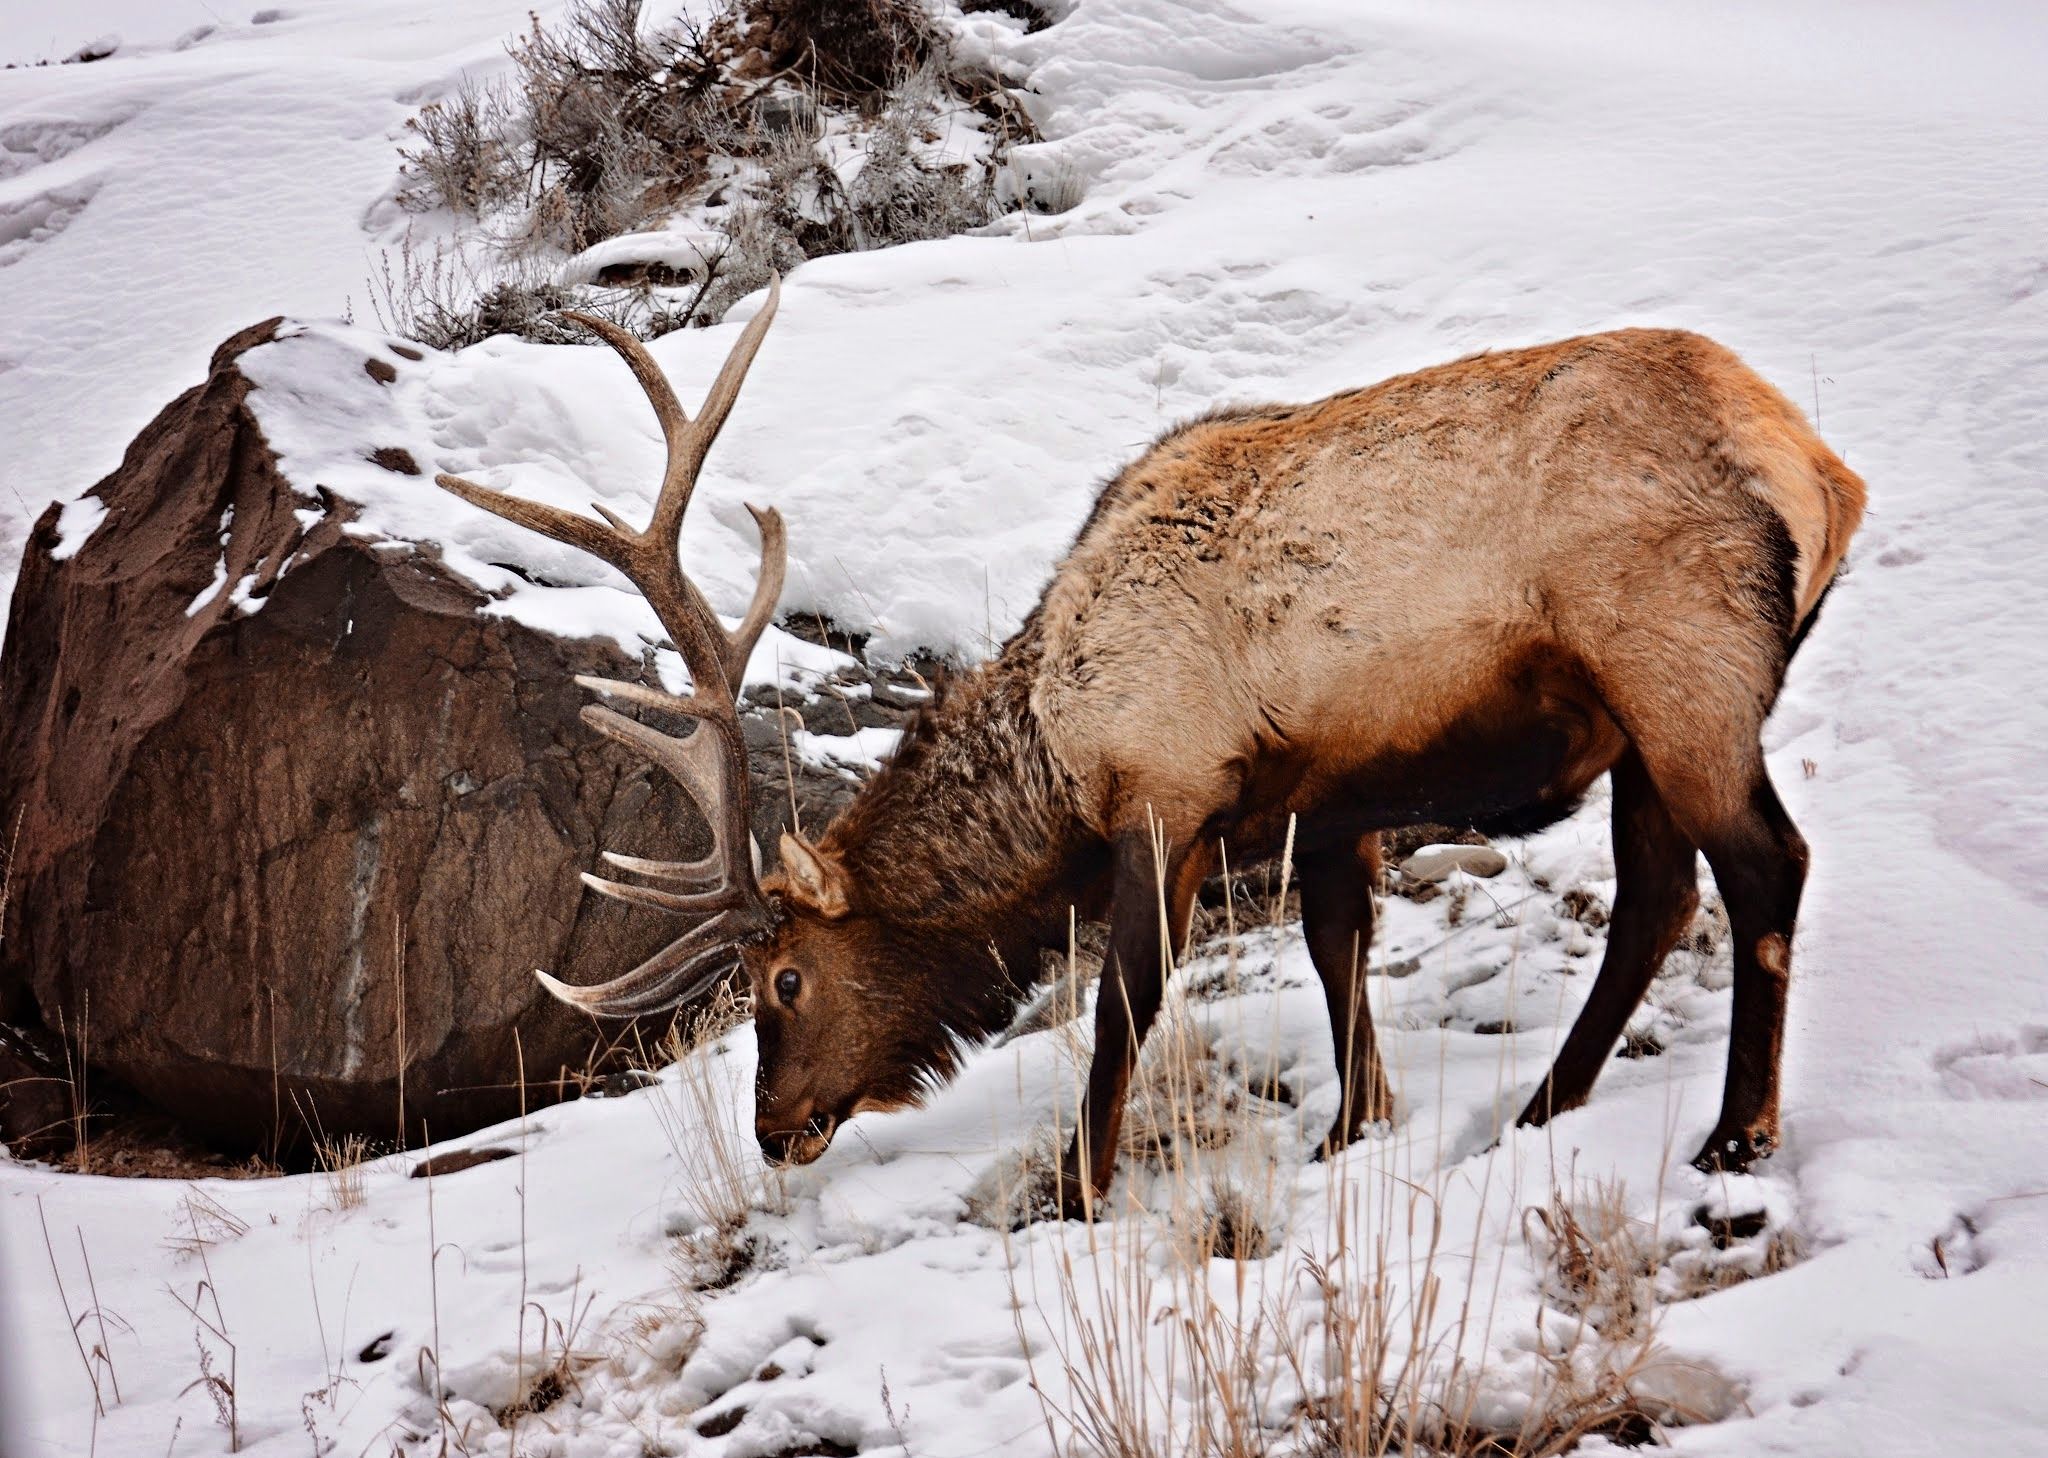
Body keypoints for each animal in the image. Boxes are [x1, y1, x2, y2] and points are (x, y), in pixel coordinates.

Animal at [437, 278, 1865, 1218]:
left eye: (782, 981)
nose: (775, 1127)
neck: (1052, 758)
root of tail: (1822, 474)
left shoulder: (1168, 797)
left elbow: (1124, 1007)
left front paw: (1073, 1191)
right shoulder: (1326, 803)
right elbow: (1337, 955)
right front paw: (1354, 1127)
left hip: (1679, 674)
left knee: (1766, 868)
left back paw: (1734, 1139)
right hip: (1638, 727)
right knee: (1657, 895)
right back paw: (1543, 1107)